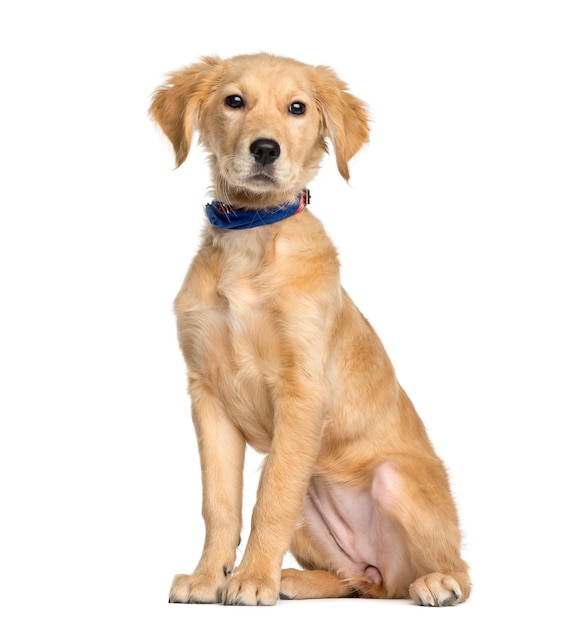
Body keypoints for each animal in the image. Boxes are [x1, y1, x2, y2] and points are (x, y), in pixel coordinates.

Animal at [150, 52, 472, 604]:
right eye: (234, 101)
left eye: (297, 108)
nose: (264, 149)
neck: (251, 238)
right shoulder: (207, 395)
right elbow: (221, 503)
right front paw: (209, 578)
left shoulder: (301, 389)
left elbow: (271, 499)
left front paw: (252, 579)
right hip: (321, 497)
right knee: (355, 580)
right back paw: (295, 579)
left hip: (394, 479)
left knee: (454, 569)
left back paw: (436, 582)